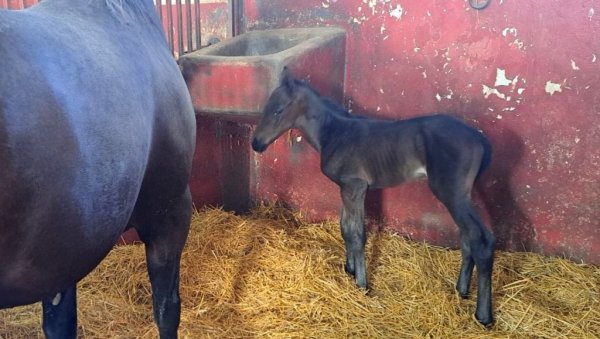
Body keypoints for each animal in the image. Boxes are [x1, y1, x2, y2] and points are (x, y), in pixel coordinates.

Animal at [251, 68, 494, 326]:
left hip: (451, 193)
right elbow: (345, 228)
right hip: (461, 195)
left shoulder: (355, 186)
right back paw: (461, 290)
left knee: (481, 238)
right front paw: (349, 269)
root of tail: (478, 137)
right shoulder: (346, 188)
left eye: (278, 110)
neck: (334, 133)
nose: (256, 144)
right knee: (468, 237)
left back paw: (484, 315)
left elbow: (357, 233)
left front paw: (362, 284)